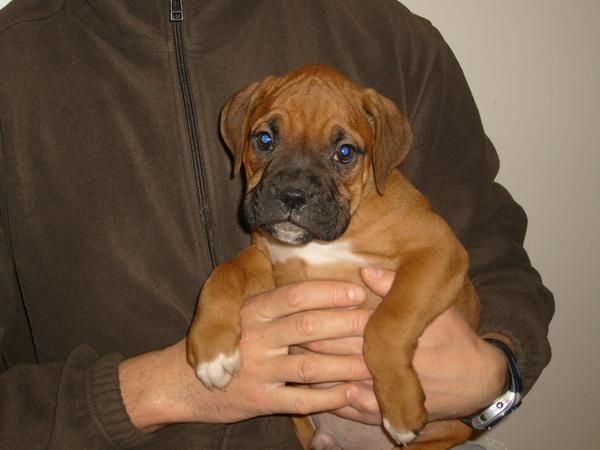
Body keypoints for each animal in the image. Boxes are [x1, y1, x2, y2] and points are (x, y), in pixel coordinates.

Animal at [185, 64, 480, 450]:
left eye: (344, 152)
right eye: (263, 140)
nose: (293, 194)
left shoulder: (439, 251)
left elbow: (387, 323)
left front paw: (400, 408)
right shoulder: (267, 259)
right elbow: (222, 275)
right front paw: (211, 348)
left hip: (450, 432)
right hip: (304, 425)